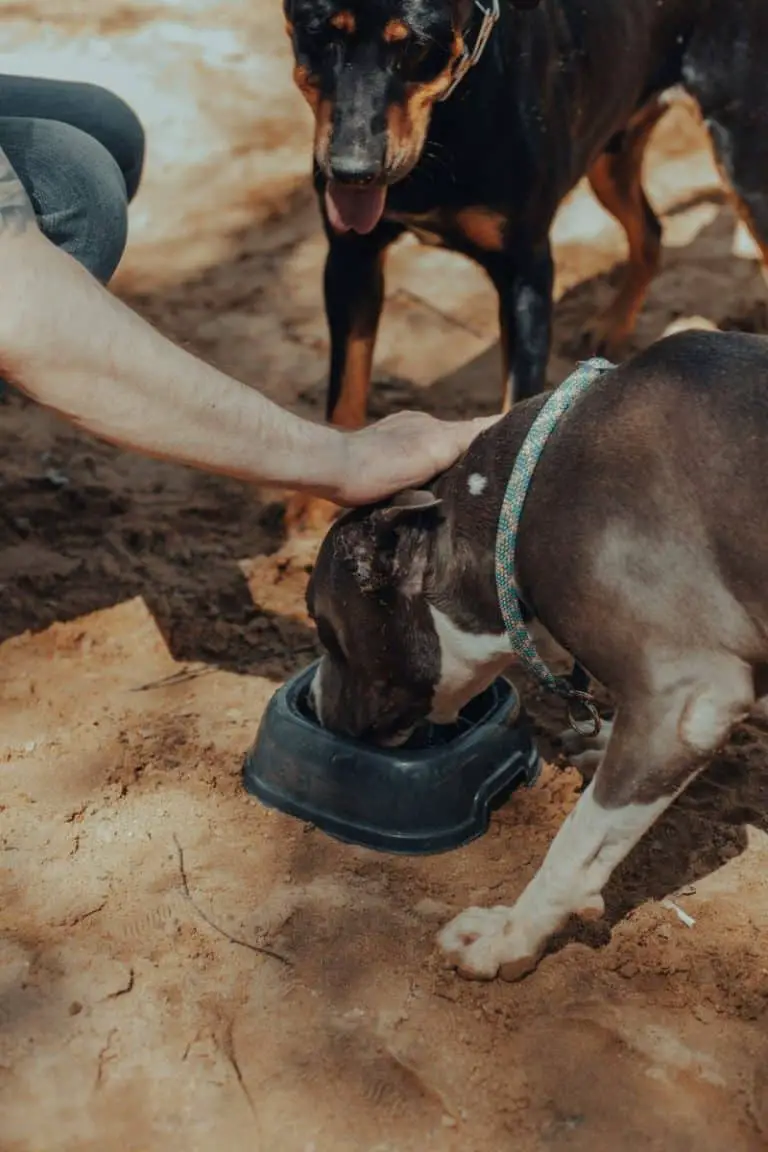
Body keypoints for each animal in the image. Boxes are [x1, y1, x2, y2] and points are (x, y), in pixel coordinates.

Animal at [285, 0, 768, 525]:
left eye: (415, 46)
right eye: (318, 34)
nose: (353, 172)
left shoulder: (527, 274)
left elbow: (516, 401)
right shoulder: (350, 257)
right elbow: (346, 387)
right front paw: (316, 508)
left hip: (742, 162)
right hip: (610, 152)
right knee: (652, 232)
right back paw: (612, 324)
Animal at [303, 331, 768, 981]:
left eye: (324, 629)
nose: (313, 697)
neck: (515, 501)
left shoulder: (691, 697)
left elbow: (578, 841)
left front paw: (510, 934)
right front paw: (604, 739)